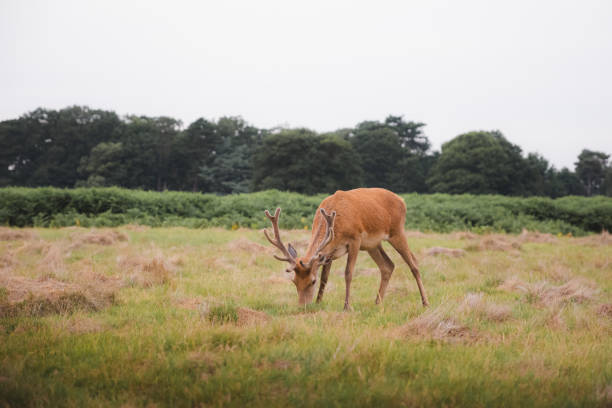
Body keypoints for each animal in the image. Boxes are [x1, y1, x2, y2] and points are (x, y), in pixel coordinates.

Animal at [264, 187, 430, 310]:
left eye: (312, 281)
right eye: (294, 281)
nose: (302, 306)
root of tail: (402, 200)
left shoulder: (355, 239)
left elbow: (348, 273)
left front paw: (347, 306)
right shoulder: (328, 252)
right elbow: (325, 277)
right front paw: (318, 302)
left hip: (397, 231)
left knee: (414, 264)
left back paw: (425, 302)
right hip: (372, 245)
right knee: (388, 265)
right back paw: (377, 302)